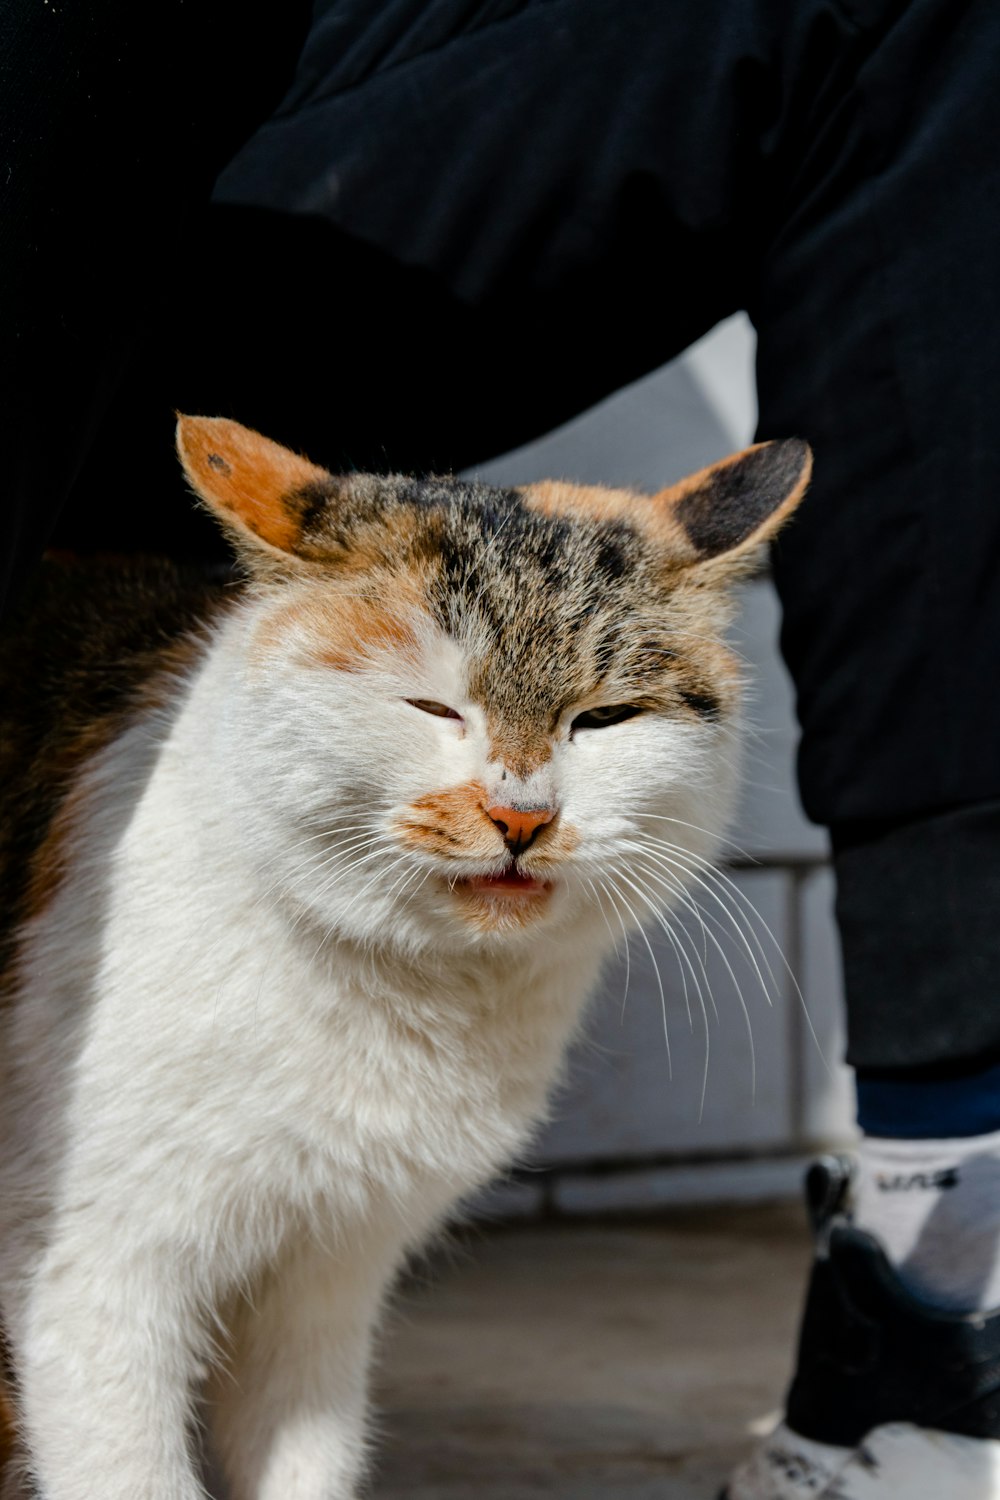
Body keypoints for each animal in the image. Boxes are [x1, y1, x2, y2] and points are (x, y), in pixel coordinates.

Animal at [0, 414, 809, 1500]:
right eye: (432, 707)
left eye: (604, 718)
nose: (522, 816)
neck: (409, 991)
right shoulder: (94, 1272)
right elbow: (129, 1470)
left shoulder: (330, 1274)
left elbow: (307, 1459)